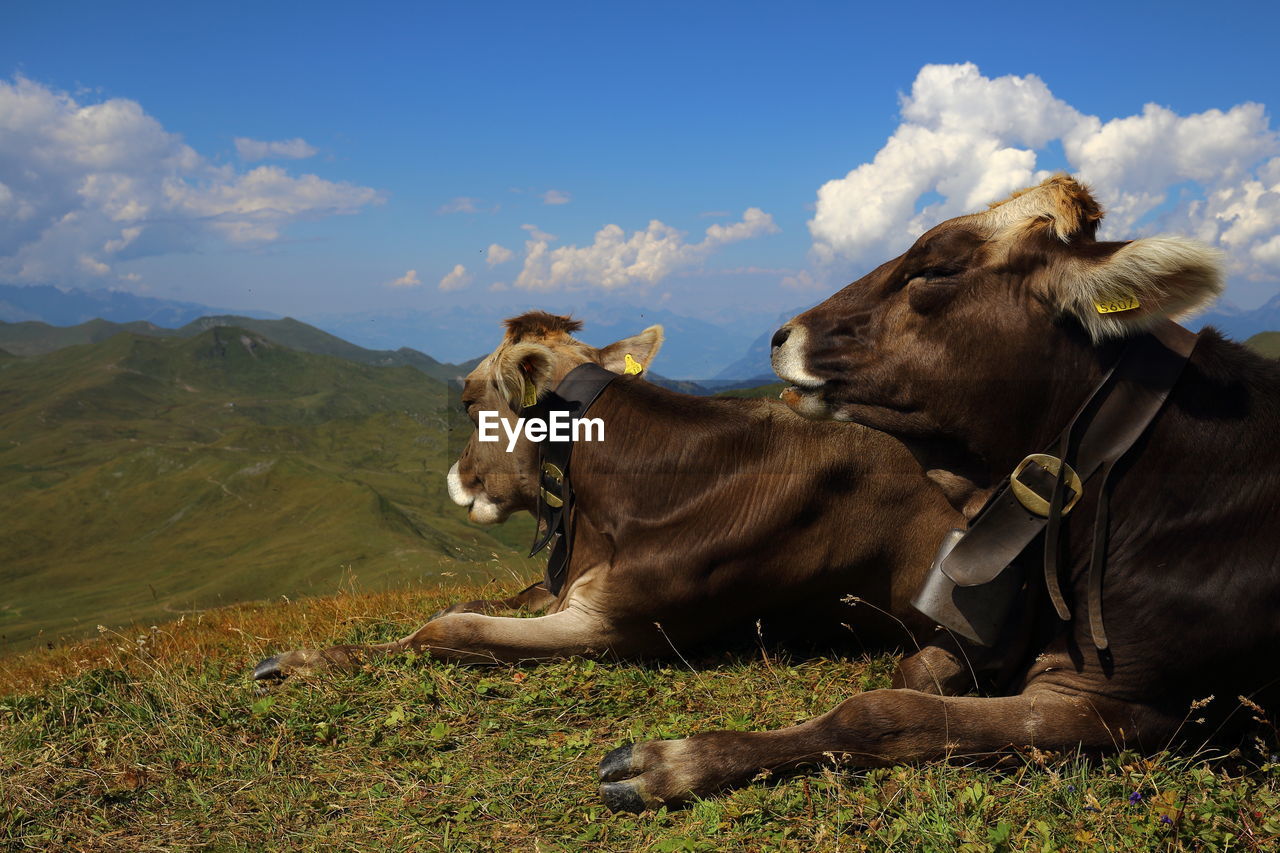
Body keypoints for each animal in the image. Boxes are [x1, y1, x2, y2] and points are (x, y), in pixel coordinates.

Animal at [254, 312, 962, 701]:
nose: (457, 478)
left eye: (467, 400)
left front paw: (298, 660)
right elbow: (471, 605)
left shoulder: (612, 626)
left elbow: (449, 630)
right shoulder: (567, 588)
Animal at [599, 174, 1280, 809]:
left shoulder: (1117, 702)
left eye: (936, 269)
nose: (781, 334)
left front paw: (676, 761)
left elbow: (882, 711)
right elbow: (916, 671)